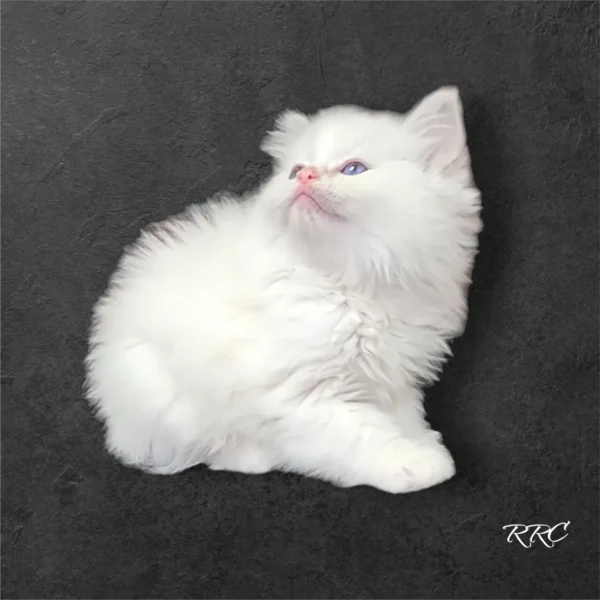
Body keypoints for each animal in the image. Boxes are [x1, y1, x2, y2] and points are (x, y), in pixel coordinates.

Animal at [84, 86, 482, 494]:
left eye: (353, 169)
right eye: (295, 170)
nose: (304, 176)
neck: (350, 283)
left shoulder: (392, 378)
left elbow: (404, 417)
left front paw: (422, 443)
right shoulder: (302, 396)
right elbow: (363, 435)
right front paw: (411, 463)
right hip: (170, 400)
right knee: (194, 449)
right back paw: (250, 458)